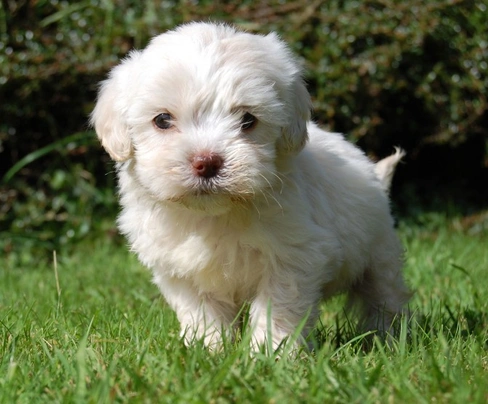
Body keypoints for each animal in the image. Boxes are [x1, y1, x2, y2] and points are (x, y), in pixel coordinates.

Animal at [92, 21, 412, 350]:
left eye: (248, 120)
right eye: (162, 120)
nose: (206, 162)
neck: (214, 215)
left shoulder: (293, 256)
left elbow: (279, 307)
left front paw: (270, 353)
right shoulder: (180, 270)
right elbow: (201, 312)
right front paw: (209, 349)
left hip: (379, 253)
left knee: (384, 295)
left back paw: (389, 338)